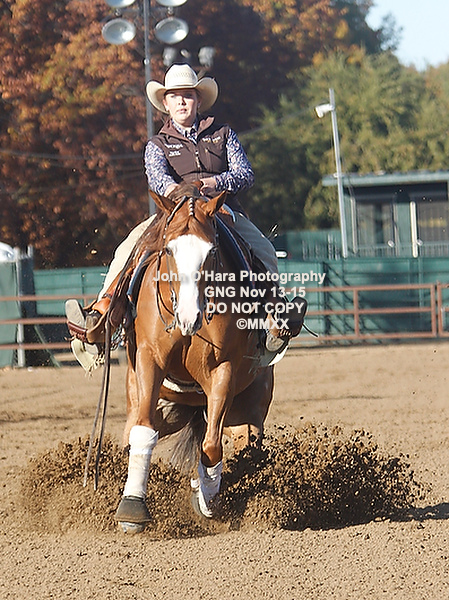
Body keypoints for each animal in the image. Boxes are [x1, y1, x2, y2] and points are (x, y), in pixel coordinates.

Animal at [113, 184, 277, 532]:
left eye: (211, 252)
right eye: (168, 250)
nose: (189, 318)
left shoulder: (222, 369)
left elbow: (212, 447)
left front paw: (205, 499)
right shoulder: (149, 360)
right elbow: (143, 433)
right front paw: (132, 507)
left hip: (247, 413)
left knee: (238, 443)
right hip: (160, 406)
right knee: (133, 432)